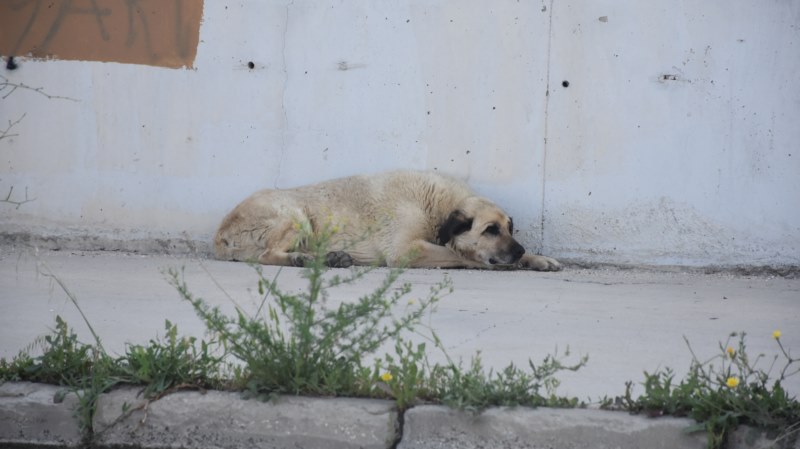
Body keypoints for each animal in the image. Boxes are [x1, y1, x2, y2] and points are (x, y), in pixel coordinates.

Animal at [216, 171, 560, 270]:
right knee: (266, 255)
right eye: (490, 230)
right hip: (294, 215)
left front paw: (537, 258)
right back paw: (302, 259)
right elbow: (463, 255)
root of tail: (220, 235)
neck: (437, 205)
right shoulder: (406, 251)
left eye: (509, 228)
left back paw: (331, 258)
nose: (518, 250)